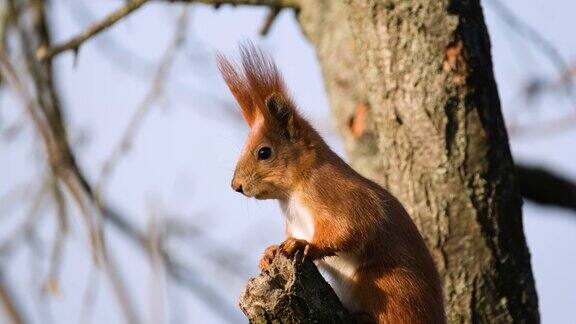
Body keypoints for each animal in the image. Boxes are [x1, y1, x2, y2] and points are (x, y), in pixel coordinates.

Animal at [216, 44, 446, 324]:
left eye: (264, 152)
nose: (235, 186)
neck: (291, 196)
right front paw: (269, 252)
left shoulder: (335, 193)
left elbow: (353, 225)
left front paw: (305, 245)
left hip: (389, 283)